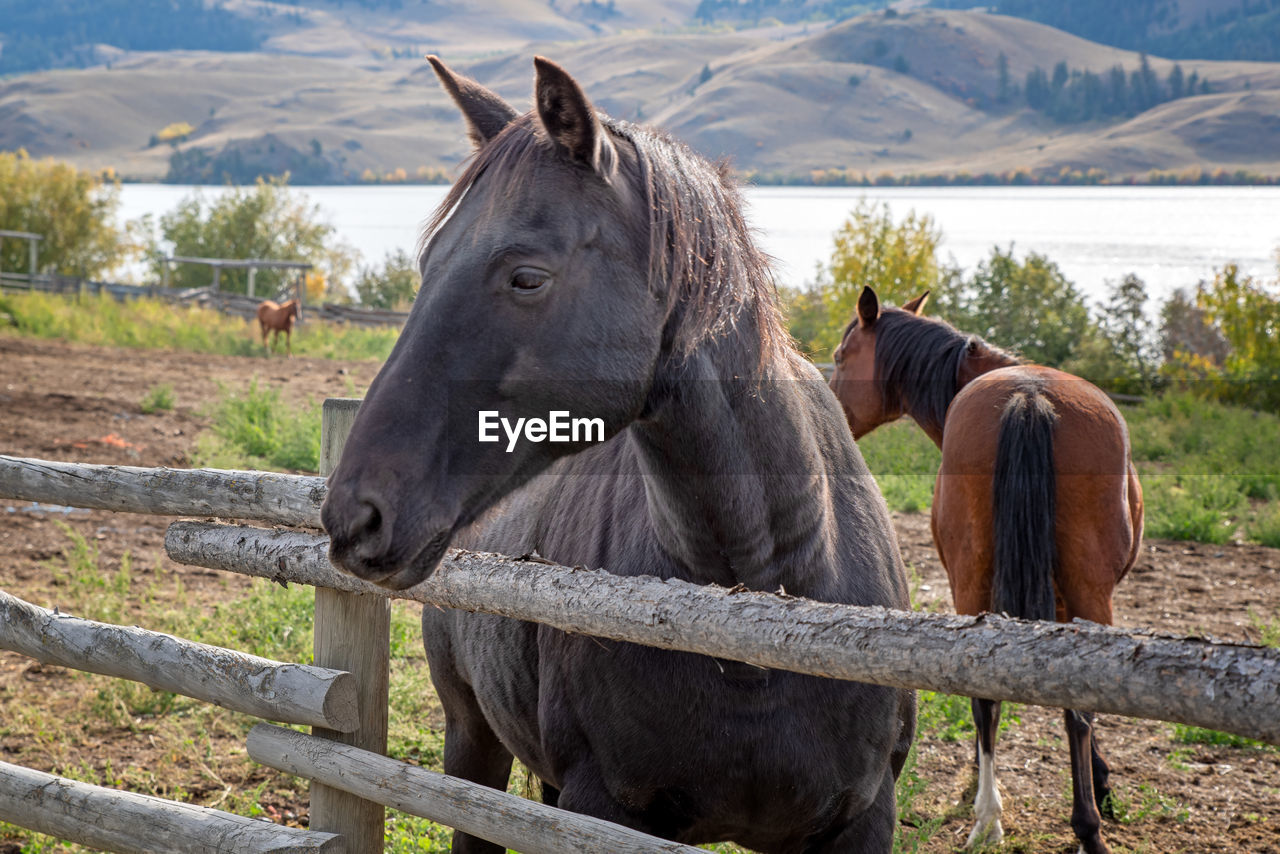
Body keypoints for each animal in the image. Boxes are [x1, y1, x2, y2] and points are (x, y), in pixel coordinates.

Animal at [325, 56, 916, 850]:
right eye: (428, 264)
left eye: (527, 276)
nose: (355, 516)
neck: (764, 603)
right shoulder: (605, 808)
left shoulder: (863, 818)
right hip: (473, 739)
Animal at [829, 286, 1152, 854]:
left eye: (843, 356)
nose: (829, 402)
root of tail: (1029, 396)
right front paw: (1102, 784)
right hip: (1077, 593)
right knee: (1054, 706)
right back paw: (1059, 824)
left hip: (980, 586)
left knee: (991, 696)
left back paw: (998, 819)